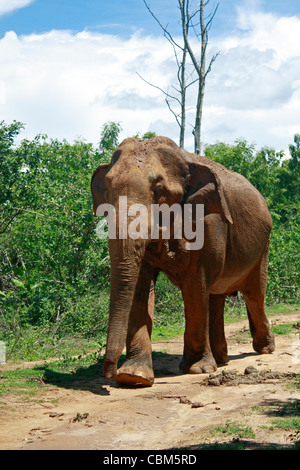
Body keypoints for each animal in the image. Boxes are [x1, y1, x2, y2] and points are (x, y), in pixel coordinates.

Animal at [91, 135, 274, 386]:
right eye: (108, 189)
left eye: (159, 189)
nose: (109, 373)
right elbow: (139, 285)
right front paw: (134, 376)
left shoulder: (208, 223)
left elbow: (195, 284)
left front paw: (198, 369)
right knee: (216, 295)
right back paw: (221, 358)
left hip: (263, 246)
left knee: (254, 293)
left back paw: (264, 349)